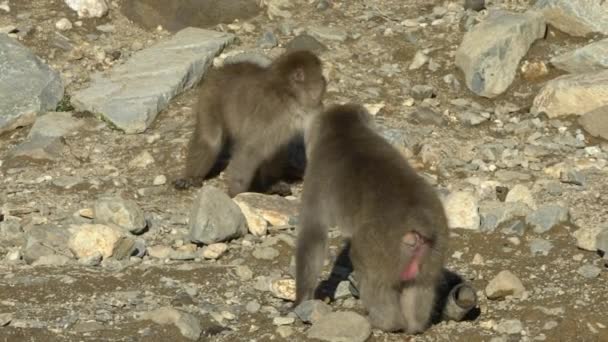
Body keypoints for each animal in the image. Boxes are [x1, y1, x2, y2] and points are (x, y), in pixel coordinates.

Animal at [175, 49, 328, 196]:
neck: (290, 97)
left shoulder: (311, 111)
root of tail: (222, 69)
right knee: (211, 140)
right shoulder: (270, 114)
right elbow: (249, 150)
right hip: (209, 97)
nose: (324, 81)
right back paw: (191, 177)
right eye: (320, 76)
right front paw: (236, 193)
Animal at [296, 103, 448, 332]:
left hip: (380, 246)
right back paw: (415, 325)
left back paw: (385, 323)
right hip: (436, 244)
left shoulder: (316, 175)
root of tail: (418, 218)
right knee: (422, 285)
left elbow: (312, 233)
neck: (346, 132)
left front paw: (299, 301)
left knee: (370, 274)